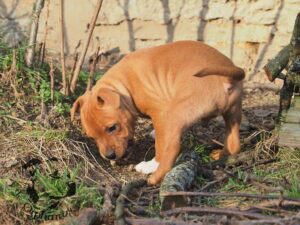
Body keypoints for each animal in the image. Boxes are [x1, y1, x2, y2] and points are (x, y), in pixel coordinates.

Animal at [71, 41, 245, 185]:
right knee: (234, 143)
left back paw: (153, 174)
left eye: (112, 127)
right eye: (92, 138)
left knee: (172, 148)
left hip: (177, 113)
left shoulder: (160, 113)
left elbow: (161, 142)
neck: (125, 86)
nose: (109, 156)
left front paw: (153, 160)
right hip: (233, 113)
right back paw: (222, 155)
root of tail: (225, 78)